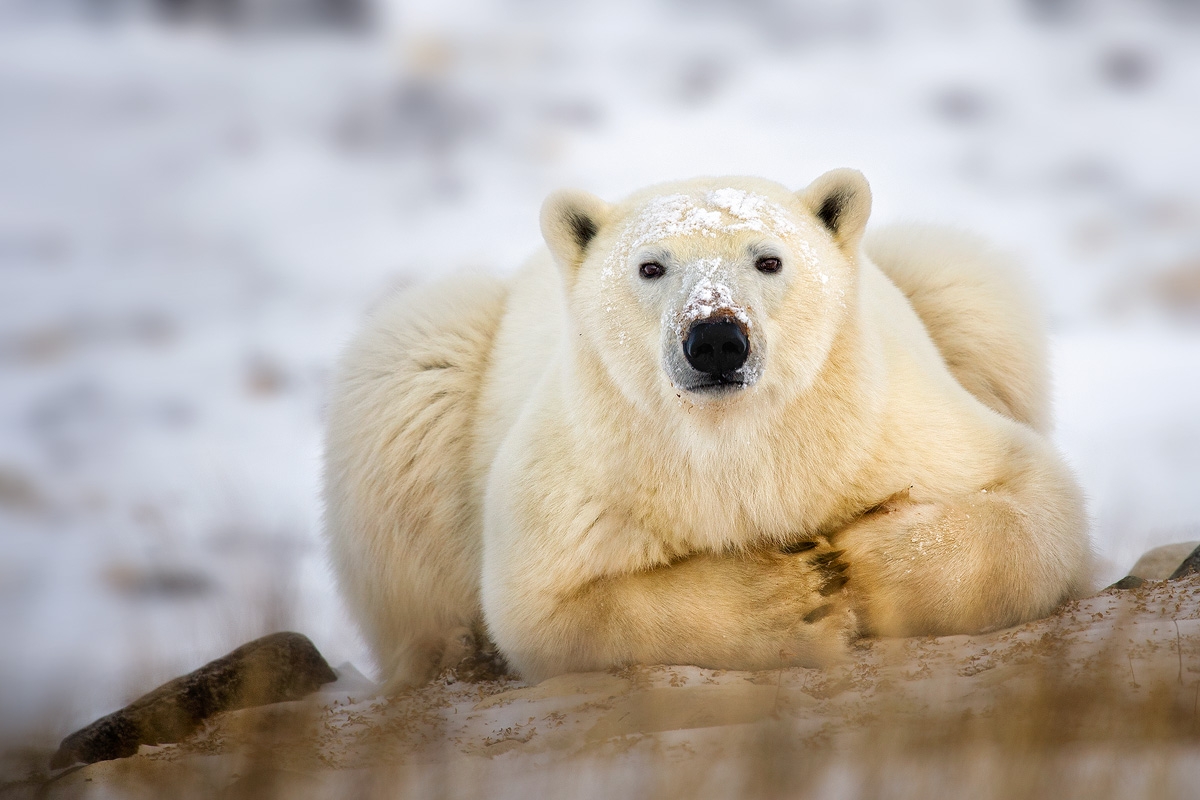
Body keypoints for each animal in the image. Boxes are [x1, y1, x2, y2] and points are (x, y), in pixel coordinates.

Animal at [324, 169, 1094, 690]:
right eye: (650, 266)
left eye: (769, 258)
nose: (717, 338)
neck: (735, 437)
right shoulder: (580, 474)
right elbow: (548, 611)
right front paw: (794, 600)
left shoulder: (892, 427)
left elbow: (1034, 501)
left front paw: (860, 562)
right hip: (436, 362)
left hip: (942, 291)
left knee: (968, 284)